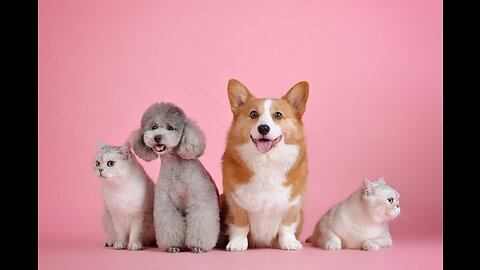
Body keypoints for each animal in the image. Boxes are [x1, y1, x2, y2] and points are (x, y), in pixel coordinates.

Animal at [220, 78, 310, 251]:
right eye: (254, 114)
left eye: (278, 115)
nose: (263, 128)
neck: (266, 161)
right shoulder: (234, 202)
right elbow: (240, 224)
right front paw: (237, 243)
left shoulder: (294, 203)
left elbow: (286, 226)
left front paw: (289, 242)